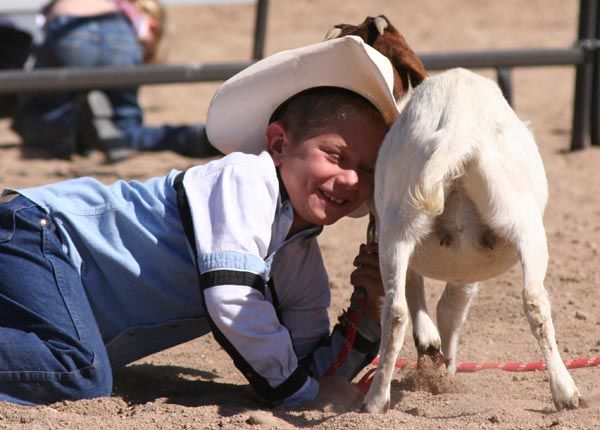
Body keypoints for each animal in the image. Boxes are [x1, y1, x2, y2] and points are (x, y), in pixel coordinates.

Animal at [358, 68, 584, 414]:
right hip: (522, 225)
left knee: (396, 310)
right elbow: (450, 307)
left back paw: (376, 400)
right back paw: (566, 392)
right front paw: (444, 365)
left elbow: (434, 300)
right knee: (534, 301)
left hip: (401, 227)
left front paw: (437, 357)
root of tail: (457, 133)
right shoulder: (468, 269)